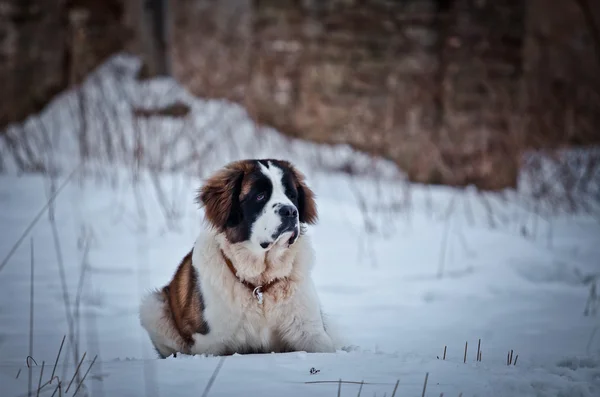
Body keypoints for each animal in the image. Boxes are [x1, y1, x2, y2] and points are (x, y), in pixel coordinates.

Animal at [139, 159, 338, 358]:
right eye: (260, 196)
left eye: (291, 195)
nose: (290, 211)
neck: (260, 284)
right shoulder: (210, 343)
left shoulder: (311, 332)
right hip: (152, 306)